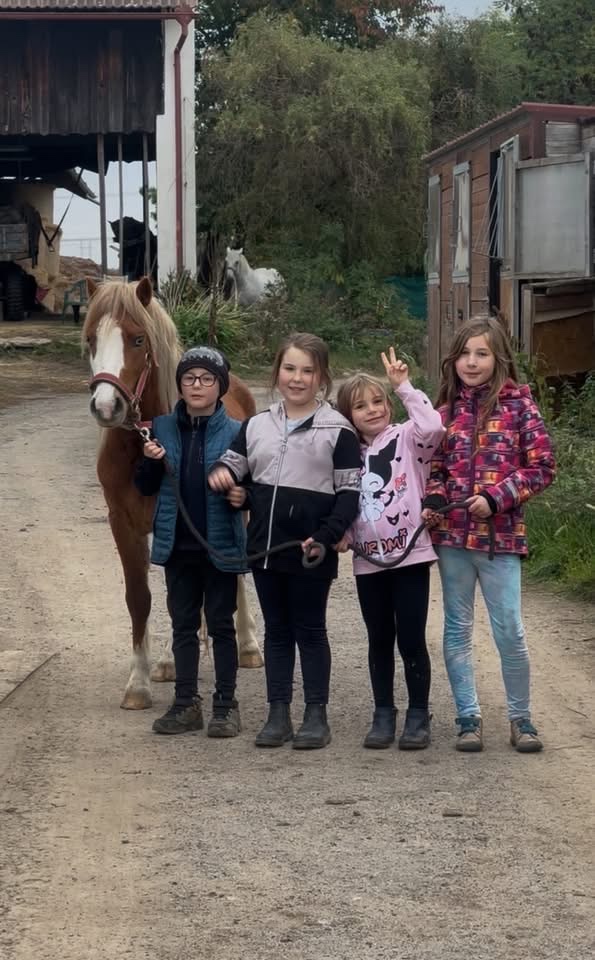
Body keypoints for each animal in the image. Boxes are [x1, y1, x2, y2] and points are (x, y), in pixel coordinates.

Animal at [82, 276, 263, 710]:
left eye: (137, 340)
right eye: (92, 338)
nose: (106, 407)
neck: (143, 445)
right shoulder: (125, 524)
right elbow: (143, 598)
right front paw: (140, 681)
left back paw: (249, 645)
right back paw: (168, 660)